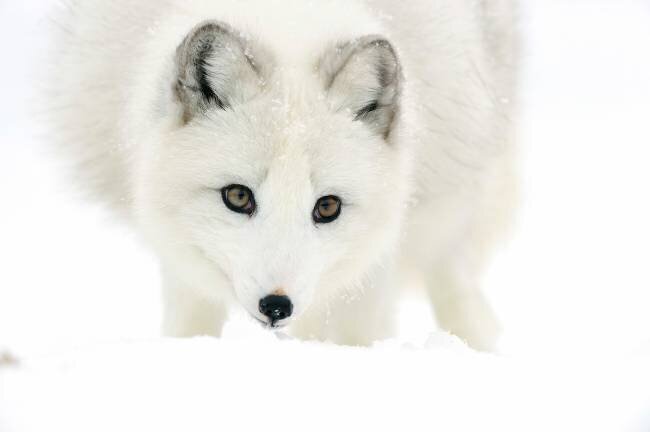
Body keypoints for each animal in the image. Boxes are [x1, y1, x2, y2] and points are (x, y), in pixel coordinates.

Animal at [47, 0, 518, 350]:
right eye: (237, 197)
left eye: (327, 206)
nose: (277, 307)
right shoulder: (178, 246)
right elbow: (191, 322)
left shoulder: (377, 251)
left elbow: (358, 331)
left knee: (450, 269)